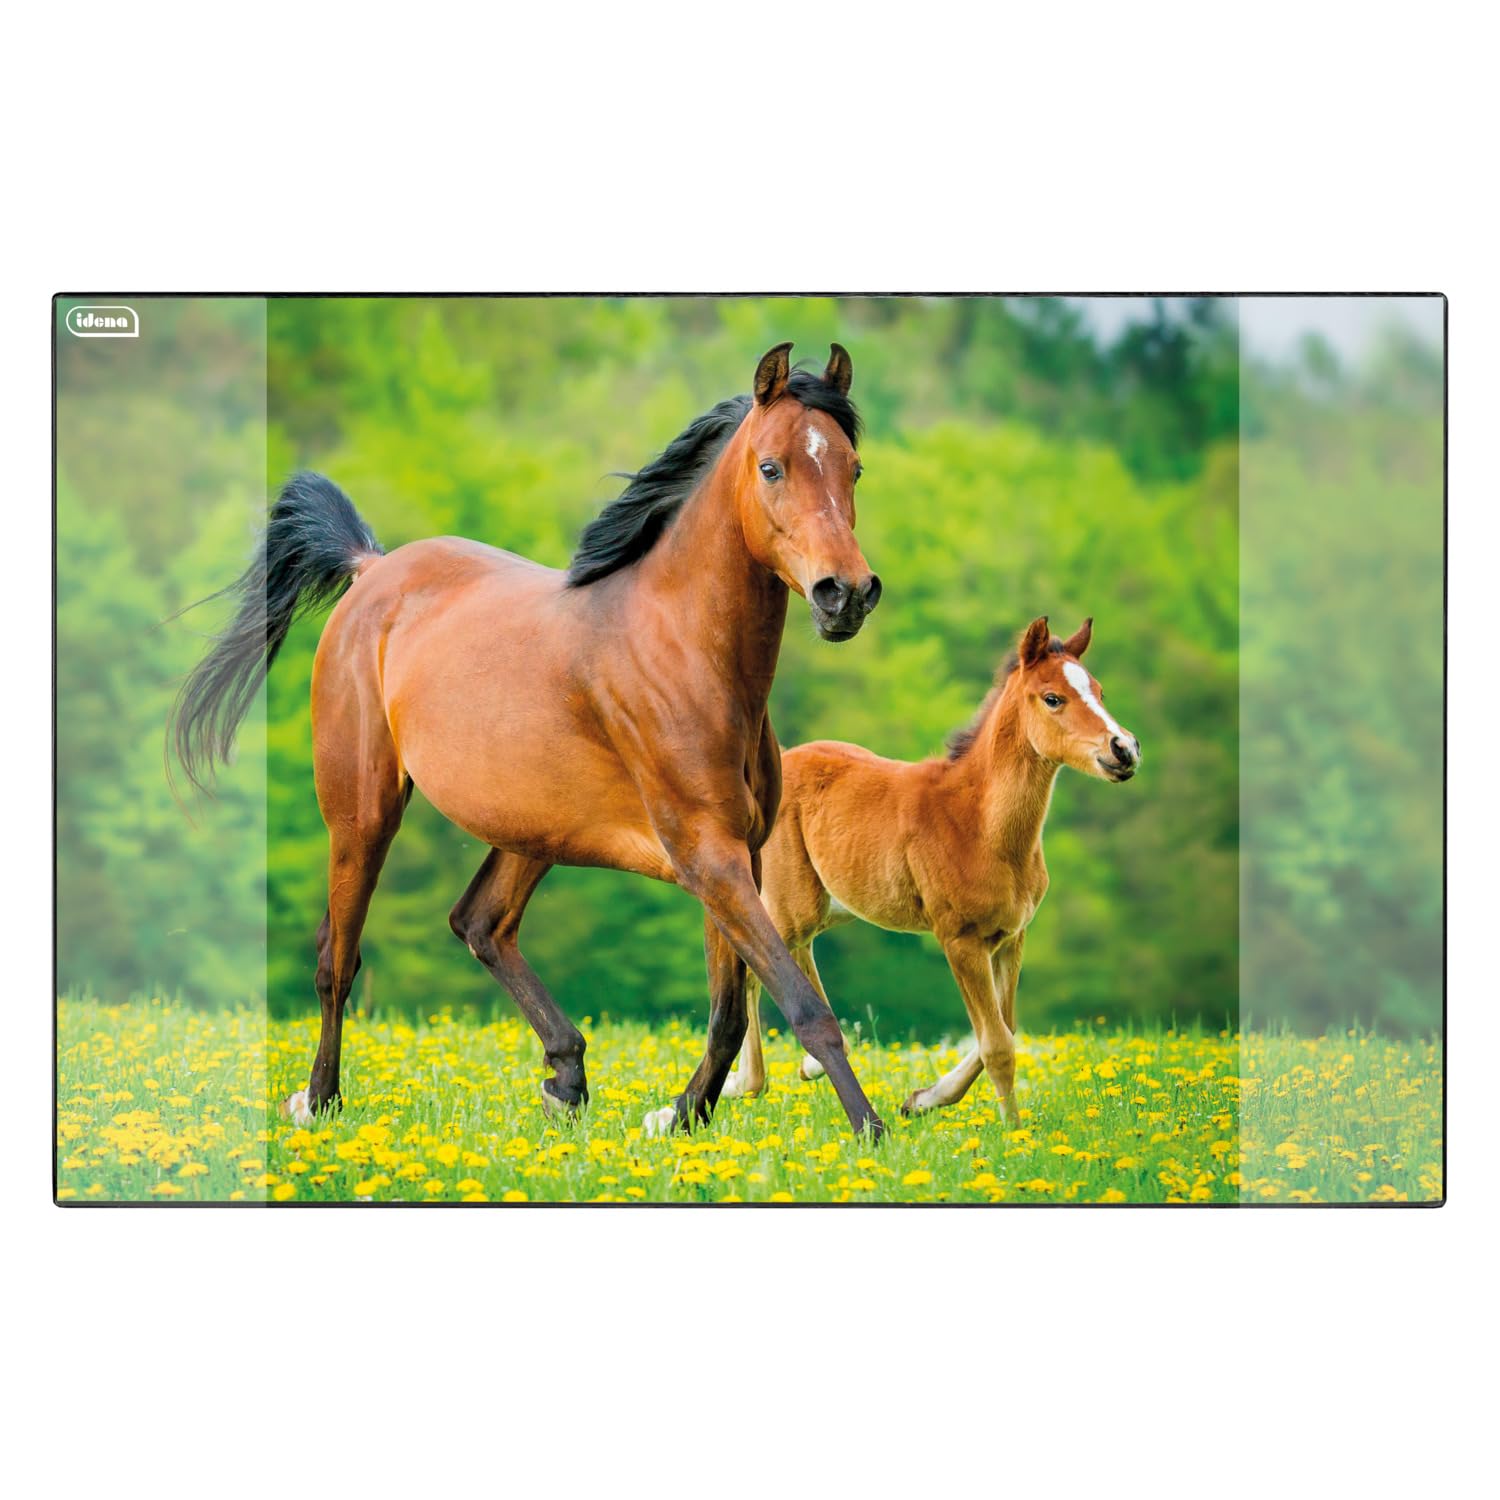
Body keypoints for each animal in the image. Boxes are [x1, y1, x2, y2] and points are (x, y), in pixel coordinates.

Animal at [169, 343, 890, 1139]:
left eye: (853, 468)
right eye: (771, 467)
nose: (845, 594)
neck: (687, 654)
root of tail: (371, 568)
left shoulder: (736, 856)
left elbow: (729, 1013)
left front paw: (680, 1116)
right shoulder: (709, 855)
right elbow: (804, 1007)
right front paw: (872, 1132)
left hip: (532, 828)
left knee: (479, 922)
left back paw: (566, 1076)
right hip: (363, 814)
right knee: (340, 957)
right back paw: (319, 1100)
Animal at [718, 615, 1140, 1121]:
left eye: (1099, 690)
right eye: (1053, 697)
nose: (1124, 749)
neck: (981, 824)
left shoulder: (1011, 937)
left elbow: (1005, 1028)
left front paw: (923, 1099)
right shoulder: (959, 939)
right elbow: (997, 1044)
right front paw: (1013, 1131)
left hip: (827, 906)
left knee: (788, 955)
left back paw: (800, 1067)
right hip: (793, 902)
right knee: (758, 957)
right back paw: (744, 1082)